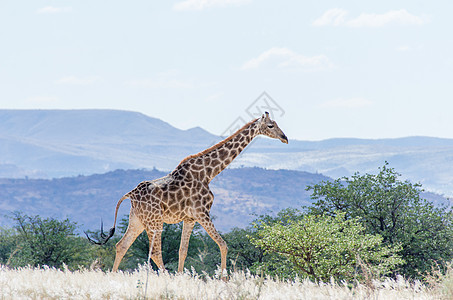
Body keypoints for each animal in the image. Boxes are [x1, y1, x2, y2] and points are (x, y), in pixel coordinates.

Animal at [86, 111, 288, 276]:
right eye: (271, 125)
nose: (285, 138)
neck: (208, 173)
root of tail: (130, 194)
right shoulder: (202, 212)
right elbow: (223, 244)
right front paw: (223, 279)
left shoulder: (190, 218)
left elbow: (182, 250)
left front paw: (182, 276)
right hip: (154, 221)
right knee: (155, 252)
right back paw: (166, 279)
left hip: (138, 220)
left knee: (122, 245)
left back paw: (113, 277)